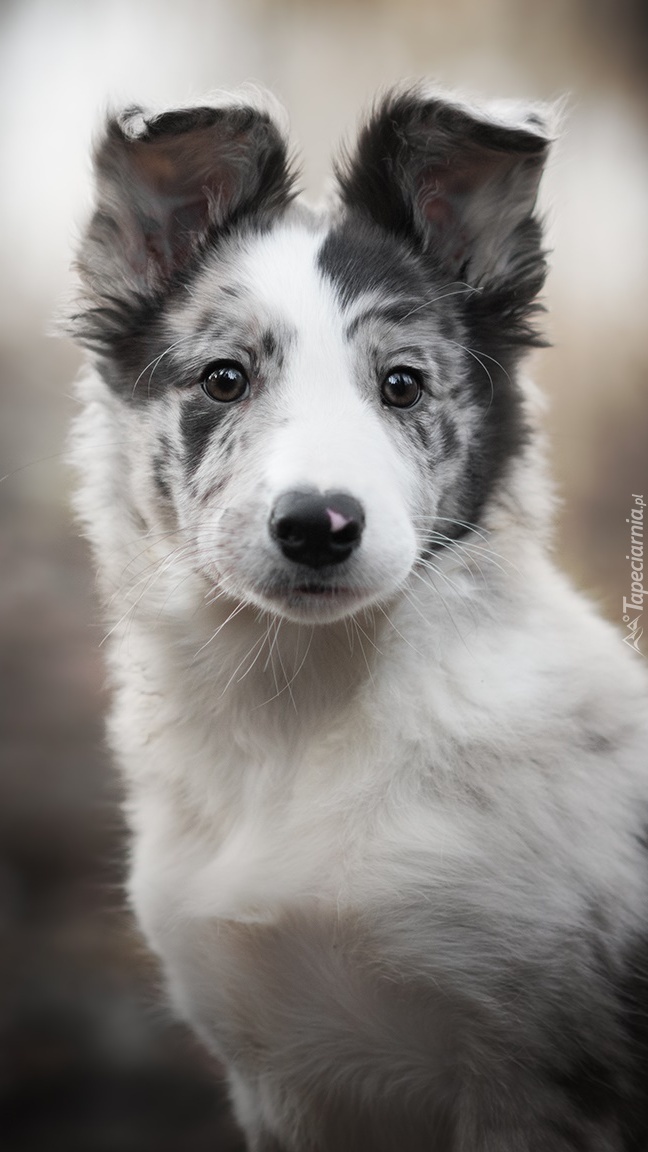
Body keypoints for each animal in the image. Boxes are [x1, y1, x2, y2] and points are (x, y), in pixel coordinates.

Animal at [68, 85, 645, 1147]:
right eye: (223, 378)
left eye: (403, 384)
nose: (319, 527)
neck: (307, 708)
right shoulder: (274, 1077)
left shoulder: (542, 1079)